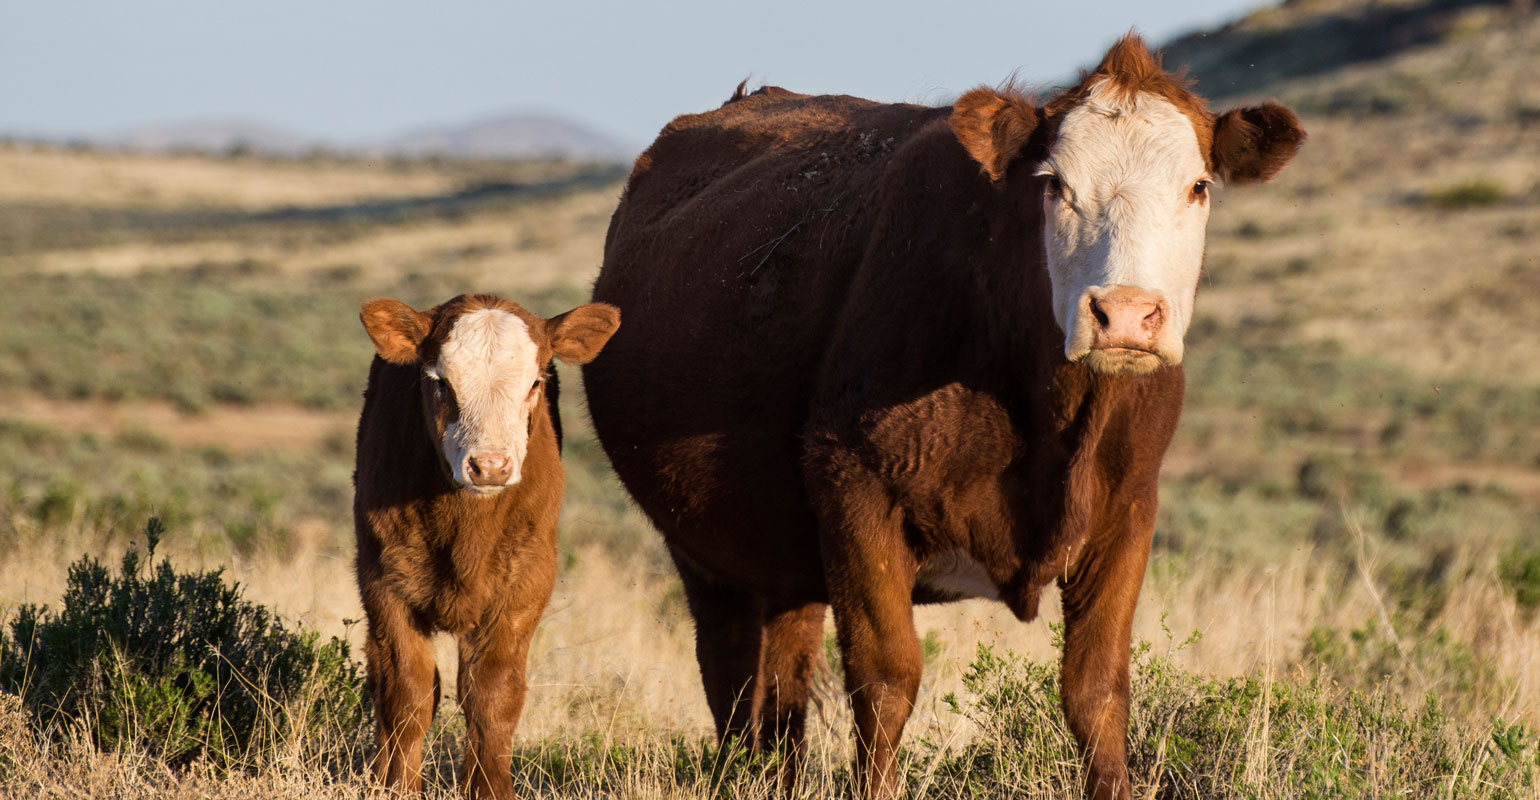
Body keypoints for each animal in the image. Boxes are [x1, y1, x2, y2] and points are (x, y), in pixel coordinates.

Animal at [354, 295, 619, 800]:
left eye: (536, 382)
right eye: (440, 381)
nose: (491, 466)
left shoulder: (525, 586)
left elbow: (492, 696)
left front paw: (490, 789)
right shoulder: (383, 580)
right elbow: (407, 692)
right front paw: (396, 786)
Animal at [582, 36, 1305, 800]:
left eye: (1198, 187)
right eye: (1054, 184)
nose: (1127, 314)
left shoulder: (1128, 509)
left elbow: (1097, 687)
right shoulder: (855, 490)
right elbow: (885, 680)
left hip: (783, 559)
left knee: (781, 697)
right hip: (703, 550)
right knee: (730, 679)